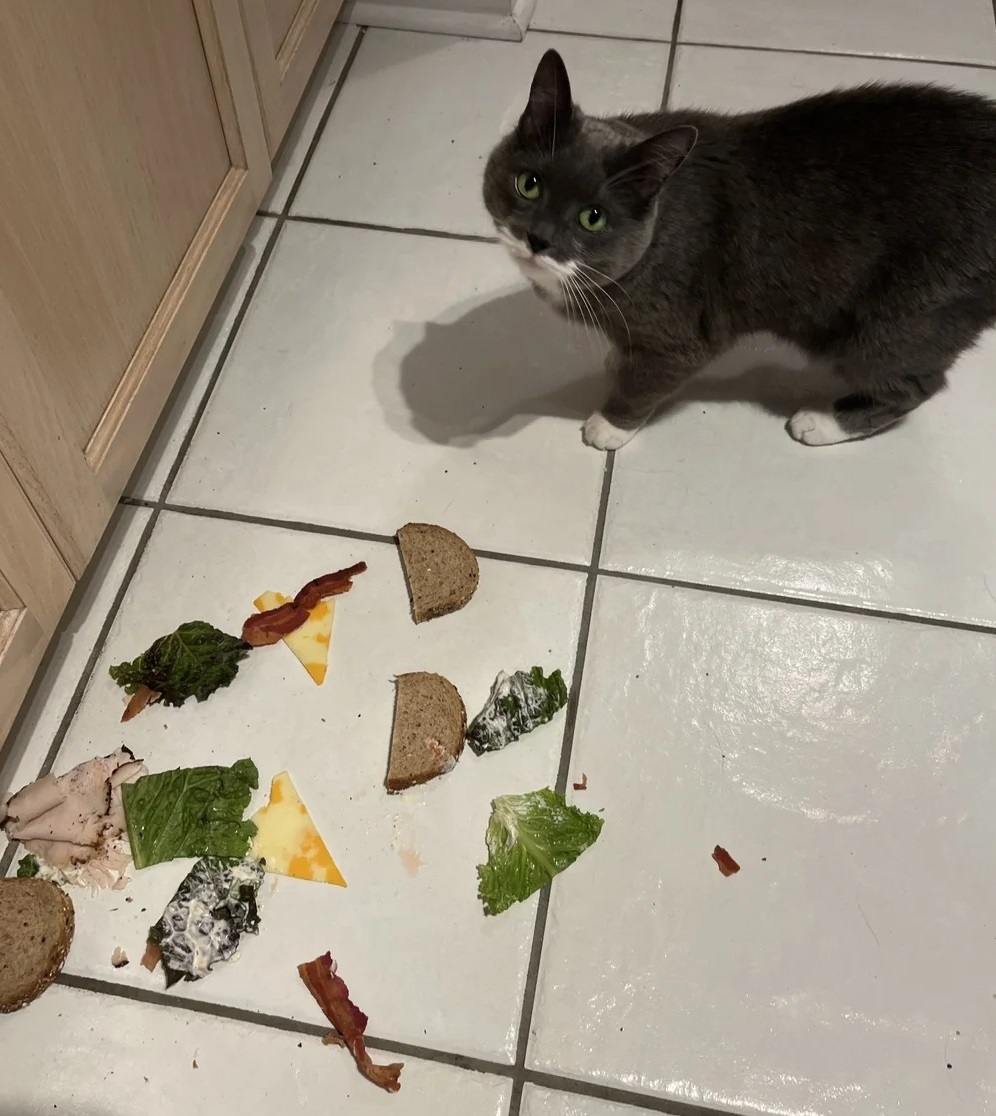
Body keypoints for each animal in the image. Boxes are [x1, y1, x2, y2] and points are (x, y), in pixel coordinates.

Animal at [482, 49, 996, 450]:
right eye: (529, 184)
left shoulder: (683, 336)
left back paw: (824, 422)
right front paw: (617, 357)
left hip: (902, 318)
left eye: (593, 217)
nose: (538, 239)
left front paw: (610, 424)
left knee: (914, 384)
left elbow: (648, 381)